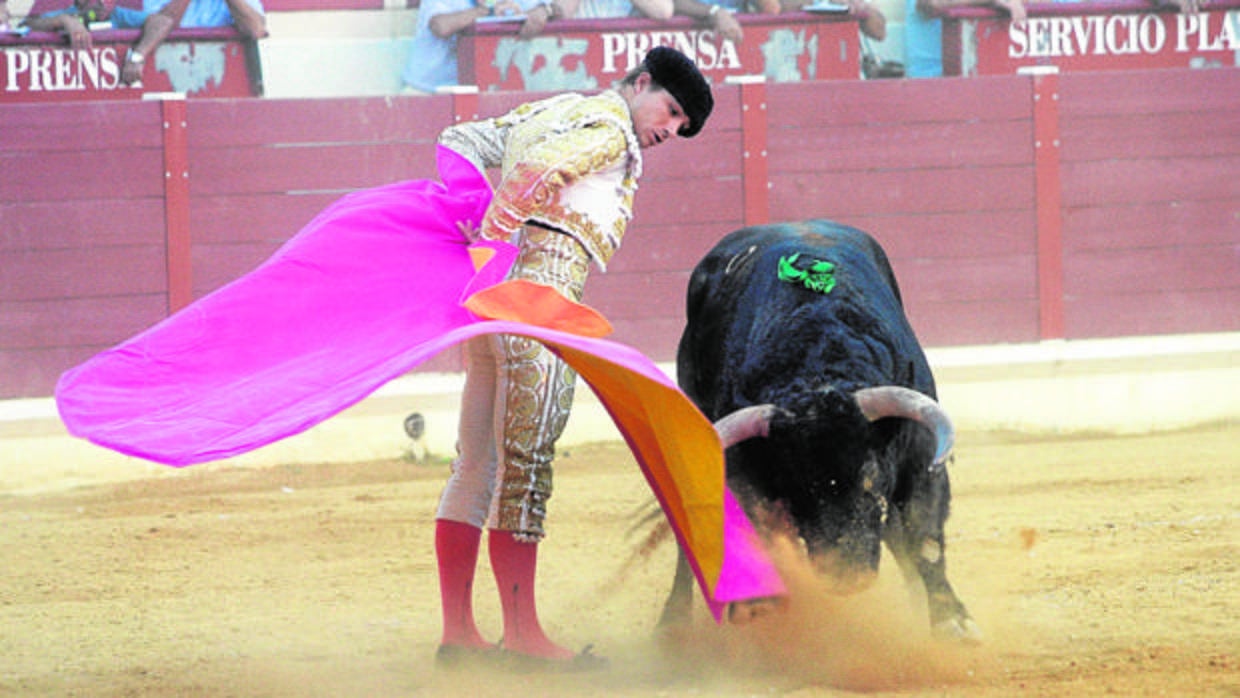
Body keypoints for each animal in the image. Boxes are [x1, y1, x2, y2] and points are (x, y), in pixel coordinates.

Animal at [659, 220, 977, 639]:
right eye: (795, 488)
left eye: (871, 478)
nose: (848, 576)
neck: (817, 365)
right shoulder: (746, 475)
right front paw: (757, 607)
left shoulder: (921, 461)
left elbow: (924, 537)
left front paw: (952, 620)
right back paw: (674, 622)